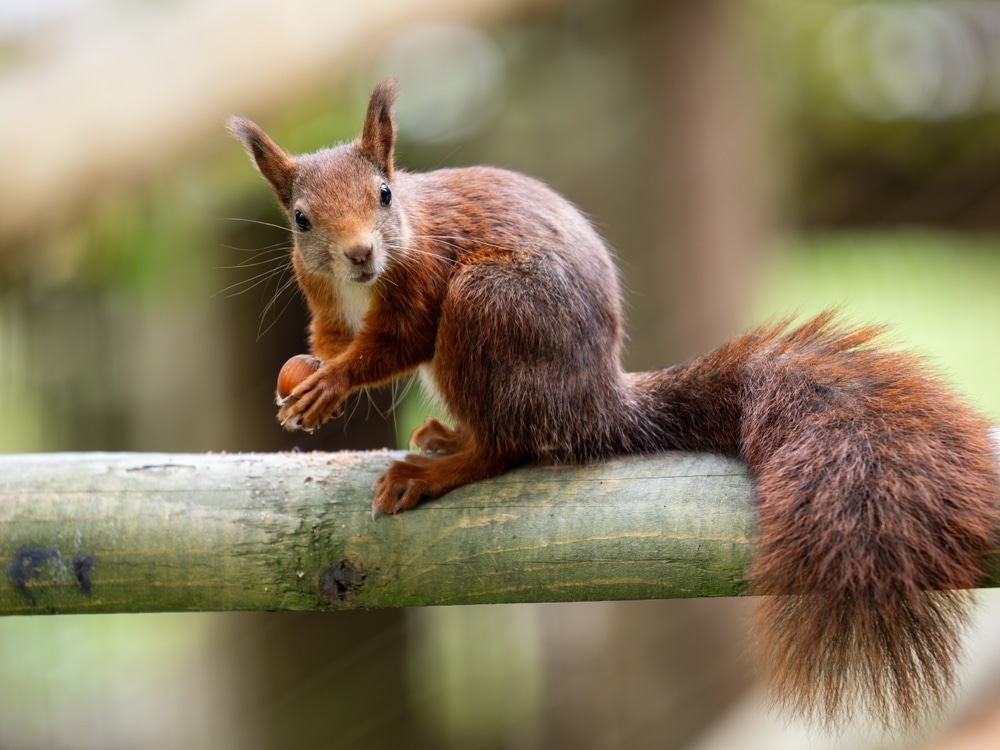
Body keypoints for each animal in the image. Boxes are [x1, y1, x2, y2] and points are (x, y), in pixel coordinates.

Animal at [229, 79, 998, 729]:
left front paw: (331, 384)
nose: (360, 255)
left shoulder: (423, 277)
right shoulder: (325, 299)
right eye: (301, 220)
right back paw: (446, 440)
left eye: (386, 194)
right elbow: (331, 340)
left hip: (488, 310)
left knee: (507, 447)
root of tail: (597, 402)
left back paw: (438, 468)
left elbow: (399, 341)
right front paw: (304, 383)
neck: (368, 278)